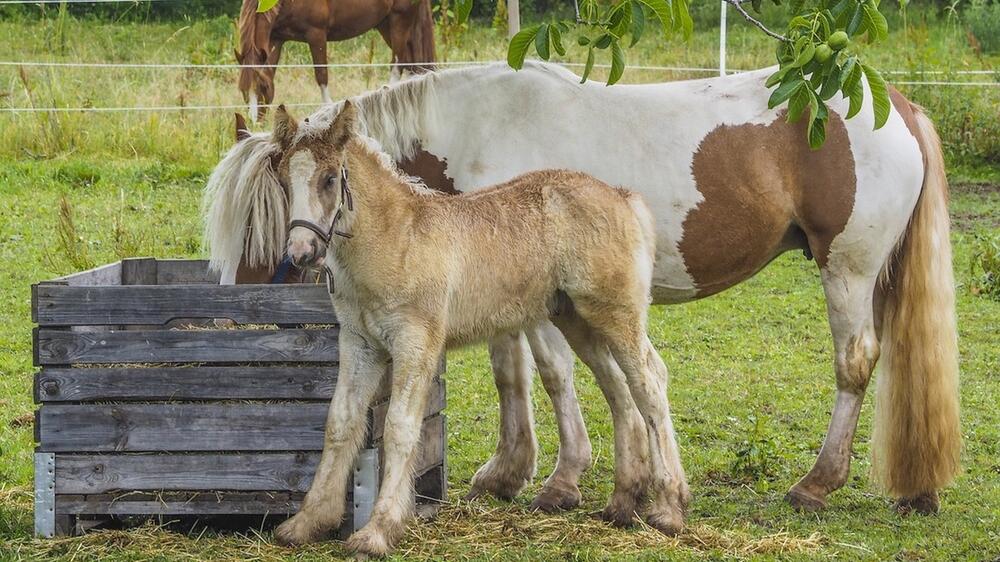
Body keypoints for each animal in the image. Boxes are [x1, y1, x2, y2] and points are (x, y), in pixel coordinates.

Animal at [205, 60, 960, 532]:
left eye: (257, 232)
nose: (234, 323)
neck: (475, 128)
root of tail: (898, 104)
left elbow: (552, 373)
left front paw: (562, 480)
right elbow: (513, 372)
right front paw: (509, 472)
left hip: (848, 271)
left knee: (854, 363)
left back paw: (816, 483)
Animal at [238, 0, 438, 121]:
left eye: (263, 87)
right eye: (243, 91)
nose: (254, 123)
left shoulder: (316, 35)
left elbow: (321, 75)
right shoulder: (276, 39)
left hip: (399, 19)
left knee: (398, 64)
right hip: (386, 24)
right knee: (411, 64)